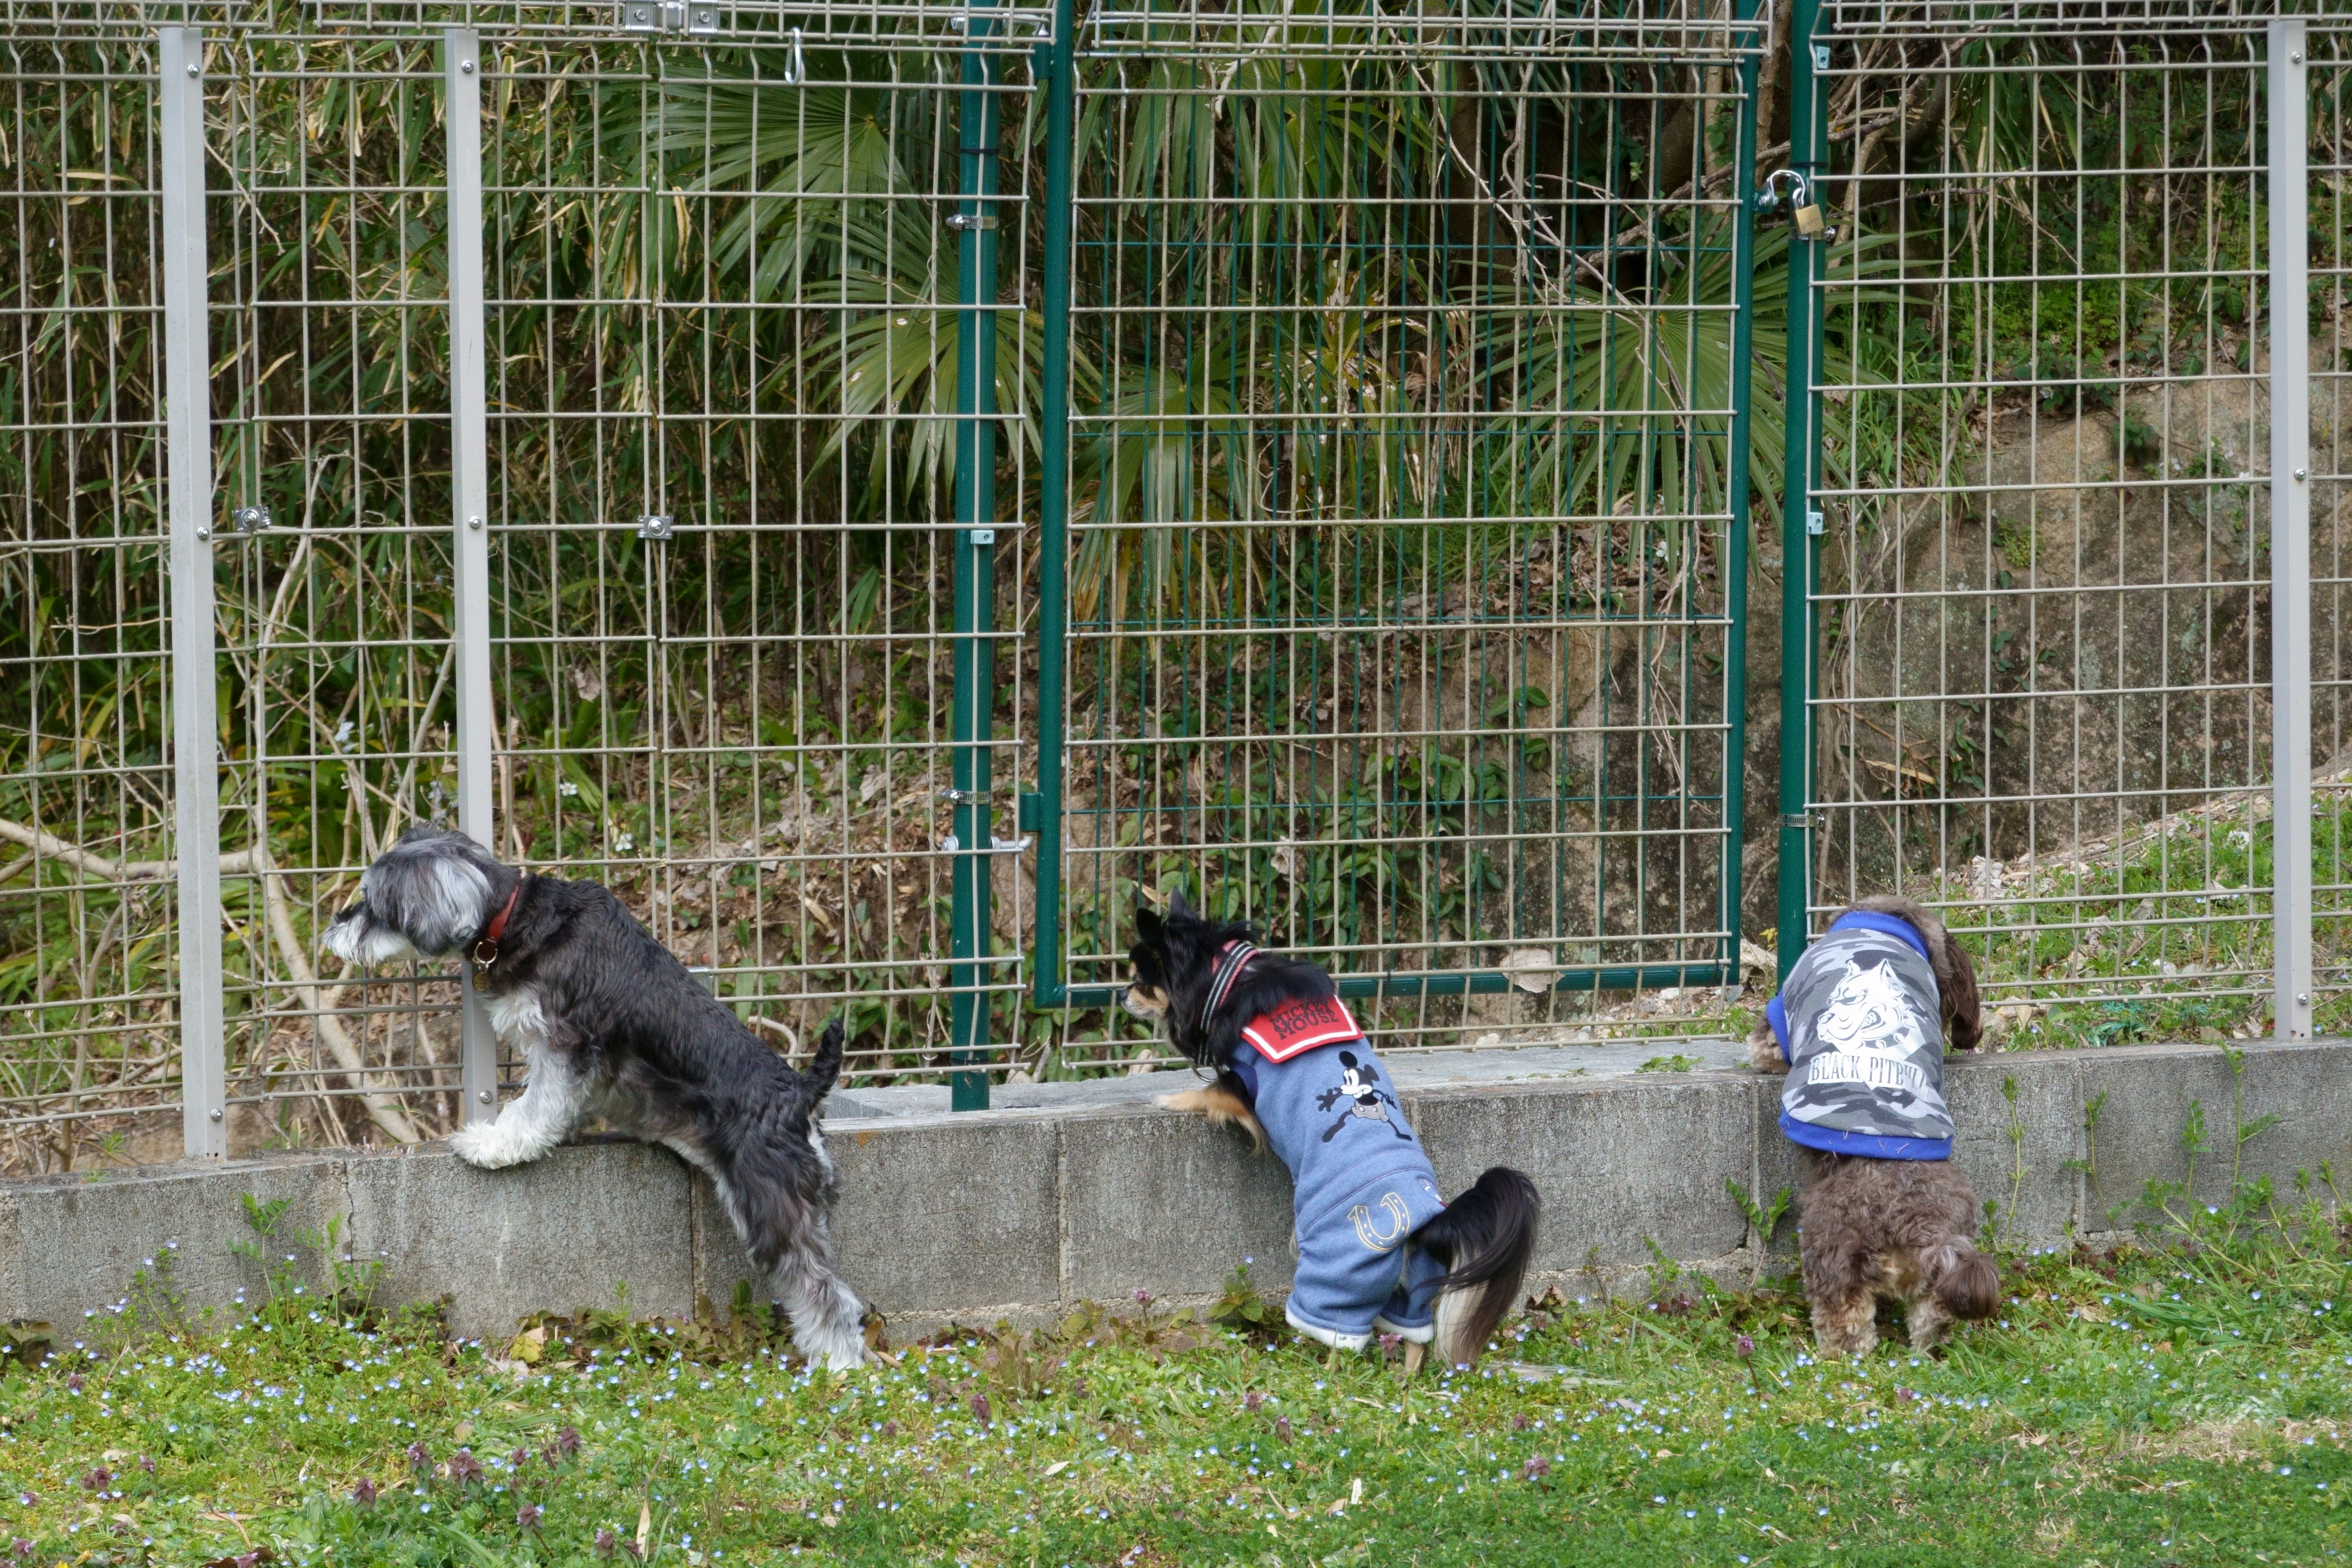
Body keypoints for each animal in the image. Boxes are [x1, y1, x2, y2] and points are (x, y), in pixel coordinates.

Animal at [1759, 903, 1994, 1354]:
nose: (1830, 1019)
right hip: (1937, 1281)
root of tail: (1920, 1230)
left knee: (1844, 1317)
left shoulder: (1778, 1017)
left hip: (1832, 1253)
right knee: (1932, 1319)